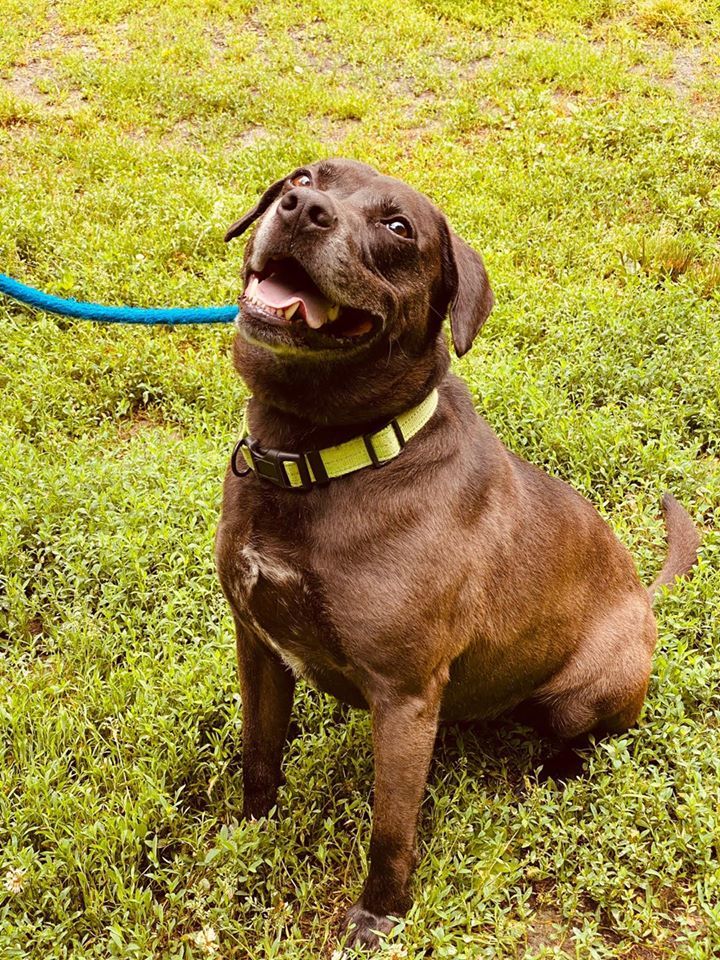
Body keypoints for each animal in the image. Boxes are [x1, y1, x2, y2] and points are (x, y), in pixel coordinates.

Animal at [214, 158, 696, 944]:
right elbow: (259, 755)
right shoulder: (256, 644)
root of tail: (643, 600)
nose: (303, 209)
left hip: (581, 694)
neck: (324, 458)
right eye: (305, 176)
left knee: (580, 740)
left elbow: (391, 831)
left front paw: (379, 917)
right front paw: (249, 834)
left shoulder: (405, 699)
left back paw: (548, 776)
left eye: (398, 226)